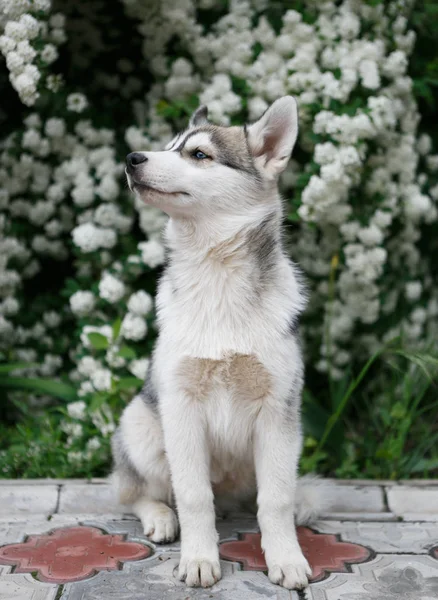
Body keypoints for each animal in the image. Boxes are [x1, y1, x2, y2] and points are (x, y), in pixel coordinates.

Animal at [111, 96, 320, 588]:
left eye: (199, 154)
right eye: (169, 146)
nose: (131, 159)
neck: (217, 275)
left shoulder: (278, 410)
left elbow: (275, 500)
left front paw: (286, 558)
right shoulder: (182, 409)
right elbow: (192, 497)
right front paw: (199, 558)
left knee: (269, 495)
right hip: (142, 428)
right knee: (134, 491)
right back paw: (160, 518)